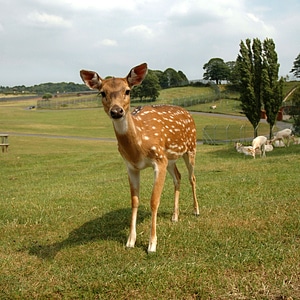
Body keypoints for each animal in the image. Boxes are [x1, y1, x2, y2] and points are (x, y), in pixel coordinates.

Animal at [81, 63, 200, 253]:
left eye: (128, 90)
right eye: (102, 92)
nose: (117, 111)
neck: (138, 148)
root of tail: (188, 112)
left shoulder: (158, 160)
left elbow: (154, 201)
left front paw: (152, 244)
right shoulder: (131, 166)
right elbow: (134, 201)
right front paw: (130, 240)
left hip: (190, 148)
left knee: (192, 177)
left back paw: (196, 210)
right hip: (171, 158)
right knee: (178, 177)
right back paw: (174, 216)